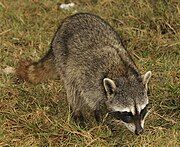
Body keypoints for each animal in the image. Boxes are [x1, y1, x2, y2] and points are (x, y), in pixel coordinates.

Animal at [16, 12, 152, 134]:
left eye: (142, 110)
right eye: (127, 114)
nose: (139, 132)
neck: (122, 73)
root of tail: (71, 18)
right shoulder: (90, 81)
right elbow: (92, 102)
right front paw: (100, 119)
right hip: (63, 57)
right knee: (72, 88)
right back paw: (77, 113)